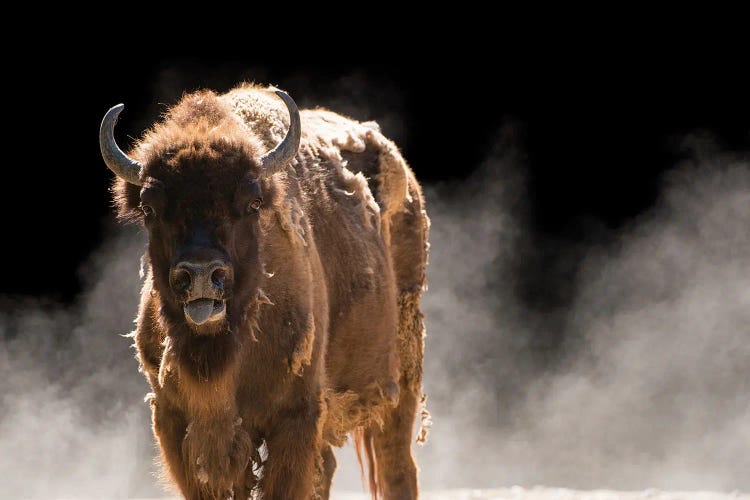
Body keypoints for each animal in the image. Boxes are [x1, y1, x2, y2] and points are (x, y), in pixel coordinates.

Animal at [97, 84, 432, 498]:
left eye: (253, 201)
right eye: (149, 207)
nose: (202, 274)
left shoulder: (295, 416)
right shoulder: (173, 420)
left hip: (401, 377)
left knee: (396, 465)